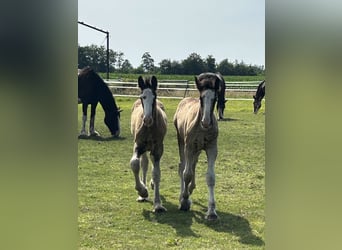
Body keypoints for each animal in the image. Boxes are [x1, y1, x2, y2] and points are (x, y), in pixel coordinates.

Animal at [130, 75, 167, 212]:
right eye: (142, 97)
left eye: (154, 97)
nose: (147, 119)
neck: (149, 128)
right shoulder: (138, 146)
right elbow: (135, 164)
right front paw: (142, 191)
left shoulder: (157, 149)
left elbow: (156, 174)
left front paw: (158, 204)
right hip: (145, 149)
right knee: (144, 164)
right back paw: (143, 193)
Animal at [175, 71, 220, 220]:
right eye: (201, 98)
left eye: (215, 99)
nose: (206, 122)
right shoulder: (189, 147)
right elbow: (186, 174)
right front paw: (184, 201)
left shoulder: (212, 148)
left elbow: (210, 177)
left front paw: (211, 211)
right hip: (182, 143)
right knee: (183, 166)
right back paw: (183, 195)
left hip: (198, 149)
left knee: (193, 164)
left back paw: (190, 189)